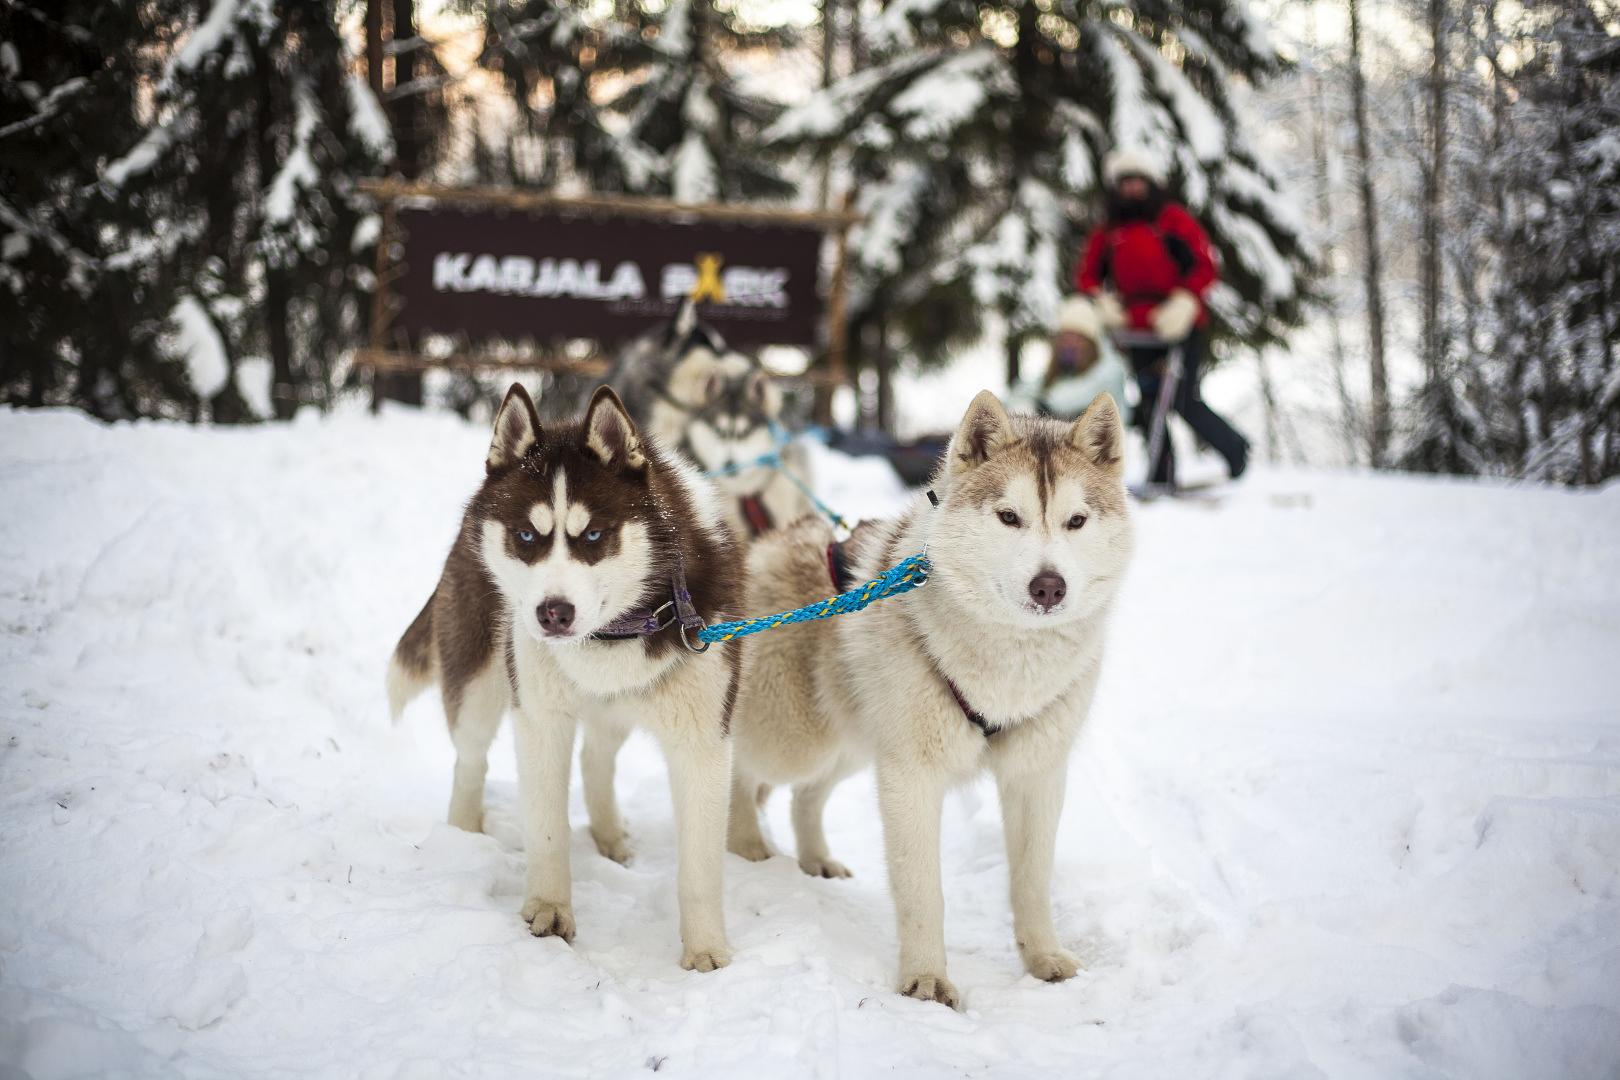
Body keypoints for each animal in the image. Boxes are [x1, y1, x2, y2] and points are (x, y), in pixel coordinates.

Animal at [387, 383, 744, 971]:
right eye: (526, 536)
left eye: (594, 534)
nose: (553, 613)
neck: (616, 634)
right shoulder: (539, 719)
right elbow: (548, 830)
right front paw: (550, 911)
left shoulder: (702, 741)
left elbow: (699, 867)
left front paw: (707, 951)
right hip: (480, 681)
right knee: (470, 759)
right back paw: (463, 835)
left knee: (596, 757)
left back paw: (608, 835)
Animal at [726, 389, 1134, 1006]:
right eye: (1009, 516)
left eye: (1077, 520)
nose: (1049, 586)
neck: (1009, 664)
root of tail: (771, 542)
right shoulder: (911, 777)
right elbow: (923, 892)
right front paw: (925, 981)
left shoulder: (1037, 776)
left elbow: (1032, 881)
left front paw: (1043, 958)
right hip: (796, 740)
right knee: (741, 772)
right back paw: (745, 844)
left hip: (854, 743)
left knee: (804, 797)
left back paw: (815, 860)